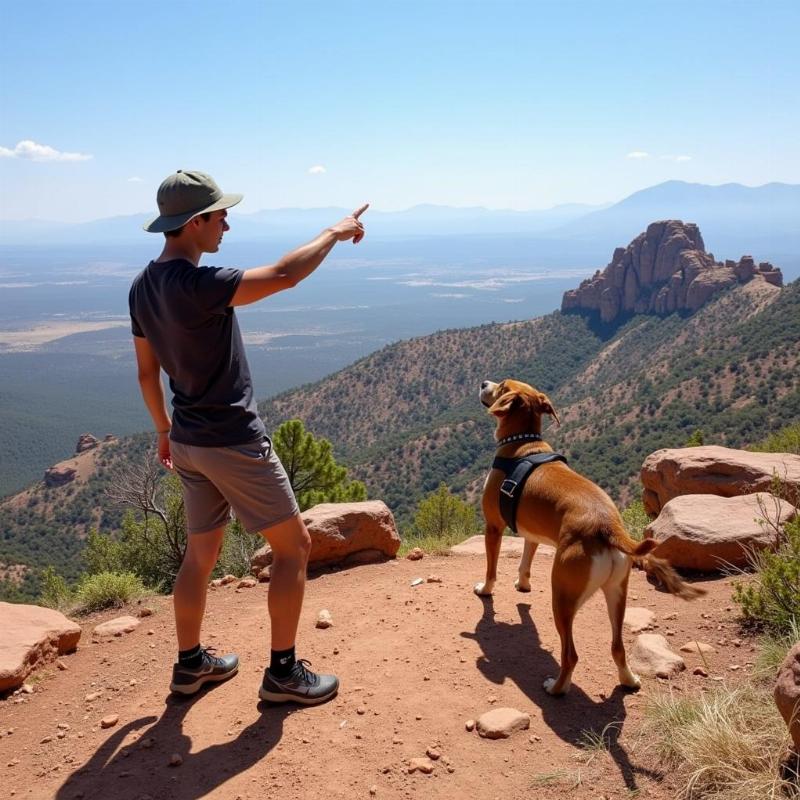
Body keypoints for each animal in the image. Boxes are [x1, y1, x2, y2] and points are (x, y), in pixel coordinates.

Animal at [476, 376, 700, 692]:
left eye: (502, 386)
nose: (484, 382)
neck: (523, 443)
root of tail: (608, 527)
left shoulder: (493, 526)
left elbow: (491, 569)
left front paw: (485, 590)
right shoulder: (532, 533)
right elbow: (525, 561)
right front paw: (523, 584)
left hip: (562, 596)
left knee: (570, 655)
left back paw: (556, 688)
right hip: (617, 594)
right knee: (617, 647)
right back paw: (628, 679)